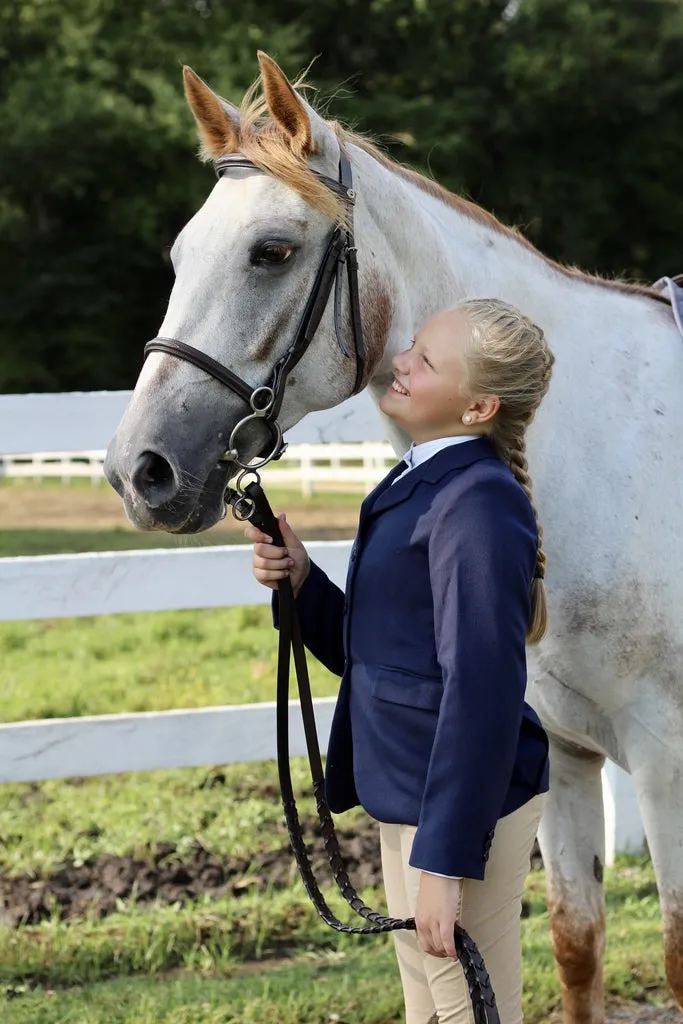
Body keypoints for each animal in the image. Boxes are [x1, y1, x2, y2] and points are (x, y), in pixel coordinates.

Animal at [104, 56, 683, 1024]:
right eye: (181, 254)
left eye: (272, 251)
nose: (137, 470)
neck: (609, 456)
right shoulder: (569, 753)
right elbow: (576, 947)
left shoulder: (664, 761)